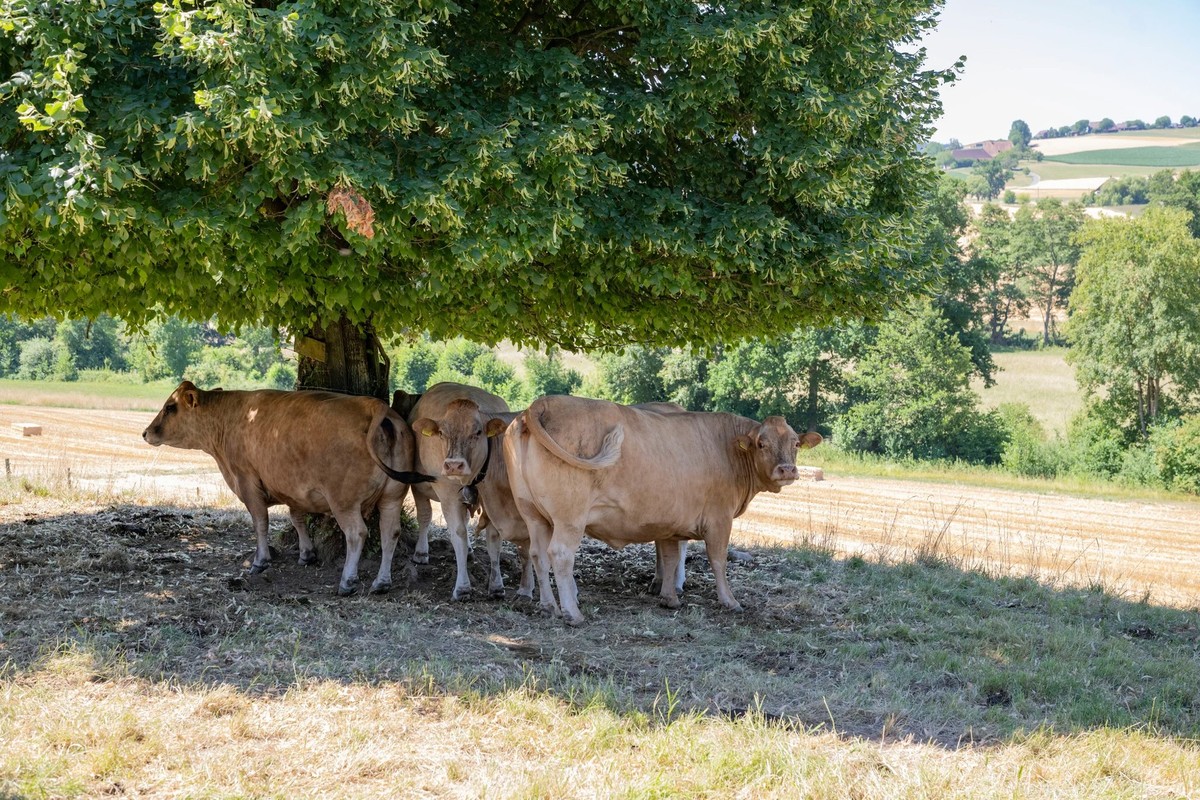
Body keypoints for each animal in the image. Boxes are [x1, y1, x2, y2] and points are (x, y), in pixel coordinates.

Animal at [142, 381, 432, 596]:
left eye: (170, 407)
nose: (146, 432)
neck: (230, 416)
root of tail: (374, 405)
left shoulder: (247, 481)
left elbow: (260, 523)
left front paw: (260, 561)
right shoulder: (292, 486)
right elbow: (297, 517)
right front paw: (306, 554)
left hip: (344, 500)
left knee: (357, 533)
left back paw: (347, 581)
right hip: (393, 496)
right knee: (390, 533)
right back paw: (381, 582)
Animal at [503, 395, 823, 625]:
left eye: (795, 443)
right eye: (761, 443)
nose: (787, 469)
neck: (728, 448)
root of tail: (541, 404)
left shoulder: (671, 522)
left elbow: (670, 558)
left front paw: (669, 597)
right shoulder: (719, 518)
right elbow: (717, 560)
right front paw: (729, 600)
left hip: (533, 513)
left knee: (537, 554)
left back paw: (548, 606)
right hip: (570, 516)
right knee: (559, 554)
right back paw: (572, 613)